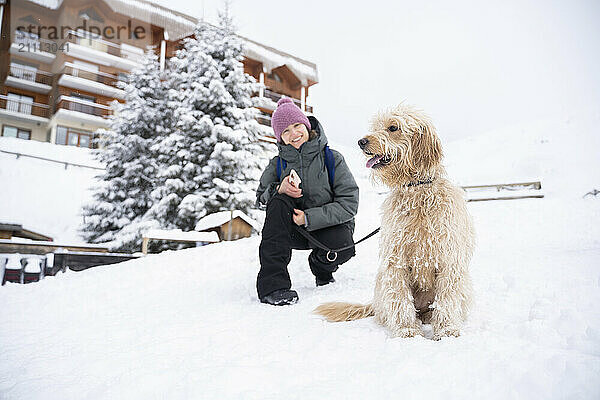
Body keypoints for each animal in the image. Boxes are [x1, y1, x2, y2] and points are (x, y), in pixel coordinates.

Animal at [314, 104, 474, 340]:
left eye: (393, 127)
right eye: (376, 126)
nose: (361, 141)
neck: (417, 190)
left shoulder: (448, 259)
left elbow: (447, 298)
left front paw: (446, 330)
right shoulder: (396, 259)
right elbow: (400, 298)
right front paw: (407, 330)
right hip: (383, 283)